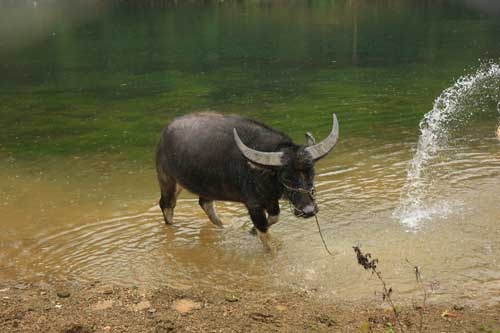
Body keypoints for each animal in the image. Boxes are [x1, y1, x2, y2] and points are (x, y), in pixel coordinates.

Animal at [154, 111, 338, 249]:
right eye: (286, 176)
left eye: (311, 172)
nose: (309, 210)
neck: (264, 174)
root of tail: (164, 135)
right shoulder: (253, 204)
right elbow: (265, 233)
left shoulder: (270, 200)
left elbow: (274, 217)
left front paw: (250, 231)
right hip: (167, 180)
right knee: (167, 205)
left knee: (205, 203)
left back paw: (222, 226)